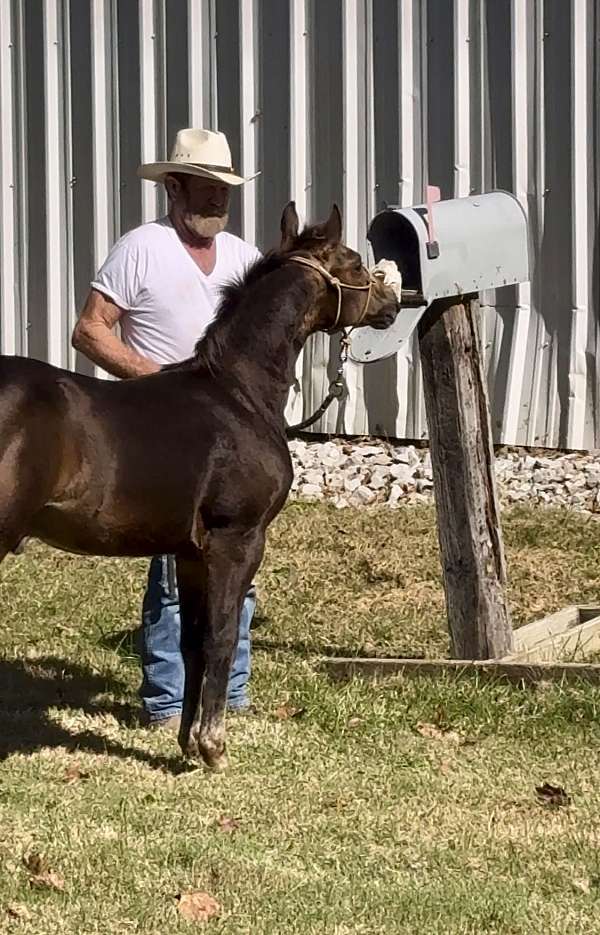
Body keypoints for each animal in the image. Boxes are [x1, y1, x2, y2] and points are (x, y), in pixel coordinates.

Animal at [0, 203, 398, 768]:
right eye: (355, 263)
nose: (392, 304)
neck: (237, 393)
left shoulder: (189, 552)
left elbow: (191, 641)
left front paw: (187, 744)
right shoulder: (238, 540)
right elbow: (222, 636)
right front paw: (213, 746)